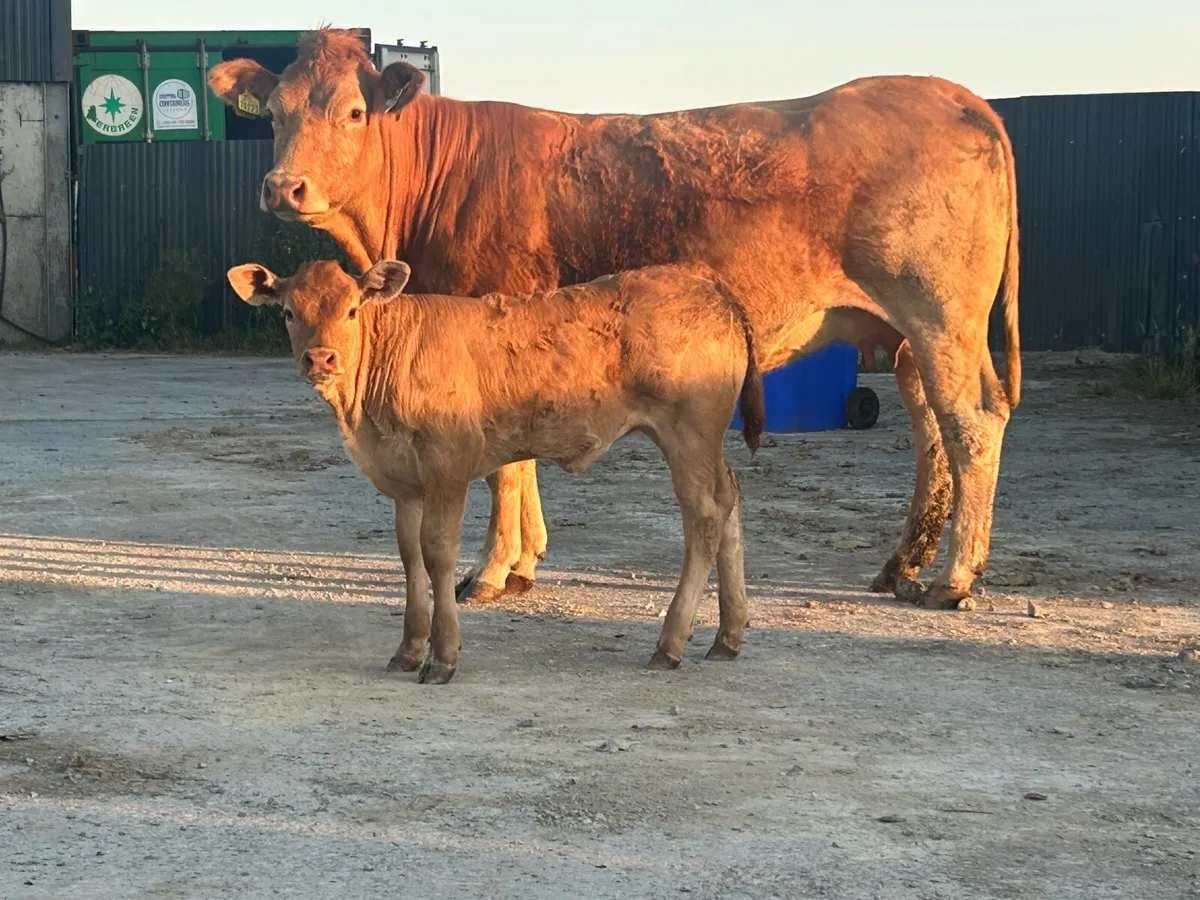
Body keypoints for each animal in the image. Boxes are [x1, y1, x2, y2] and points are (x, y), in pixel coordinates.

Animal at [209, 28, 1020, 611]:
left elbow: (505, 465)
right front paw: (526, 558)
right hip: (908, 335)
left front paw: (492, 570)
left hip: (940, 314)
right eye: (275, 114)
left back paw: (955, 579)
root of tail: (950, 92)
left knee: (971, 422)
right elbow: (518, 457)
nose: (284, 187)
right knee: (933, 431)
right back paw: (902, 563)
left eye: (352, 111)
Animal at [226, 258, 766, 684]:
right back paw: (728, 635)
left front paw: (442, 657)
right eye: (289, 312)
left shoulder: (448, 465)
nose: (320, 358)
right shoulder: (405, 482)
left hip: (688, 432)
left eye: (352, 310)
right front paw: (408, 649)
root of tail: (710, 288)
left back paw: (670, 643)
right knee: (730, 496)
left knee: (704, 515)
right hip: (702, 440)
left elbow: (437, 553)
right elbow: (409, 557)